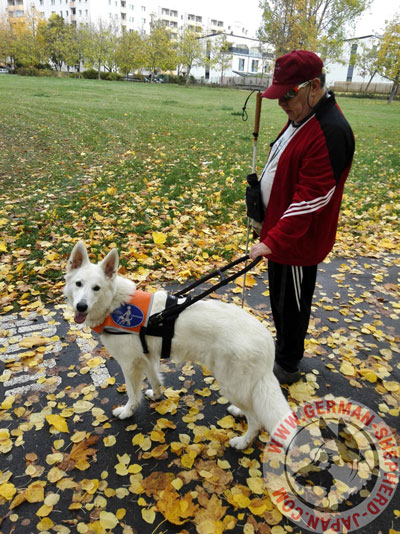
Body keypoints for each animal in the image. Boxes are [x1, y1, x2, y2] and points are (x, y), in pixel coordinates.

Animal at [64, 243, 292, 452]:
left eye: (96, 288)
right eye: (78, 284)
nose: (81, 307)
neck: (114, 304)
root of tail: (266, 340)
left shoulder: (129, 365)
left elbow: (132, 393)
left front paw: (128, 411)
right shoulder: (146, 358)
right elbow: (155, 379)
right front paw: (156, 396)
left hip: (230, 383)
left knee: (256, 420)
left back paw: (243, 442)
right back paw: (239, 411)